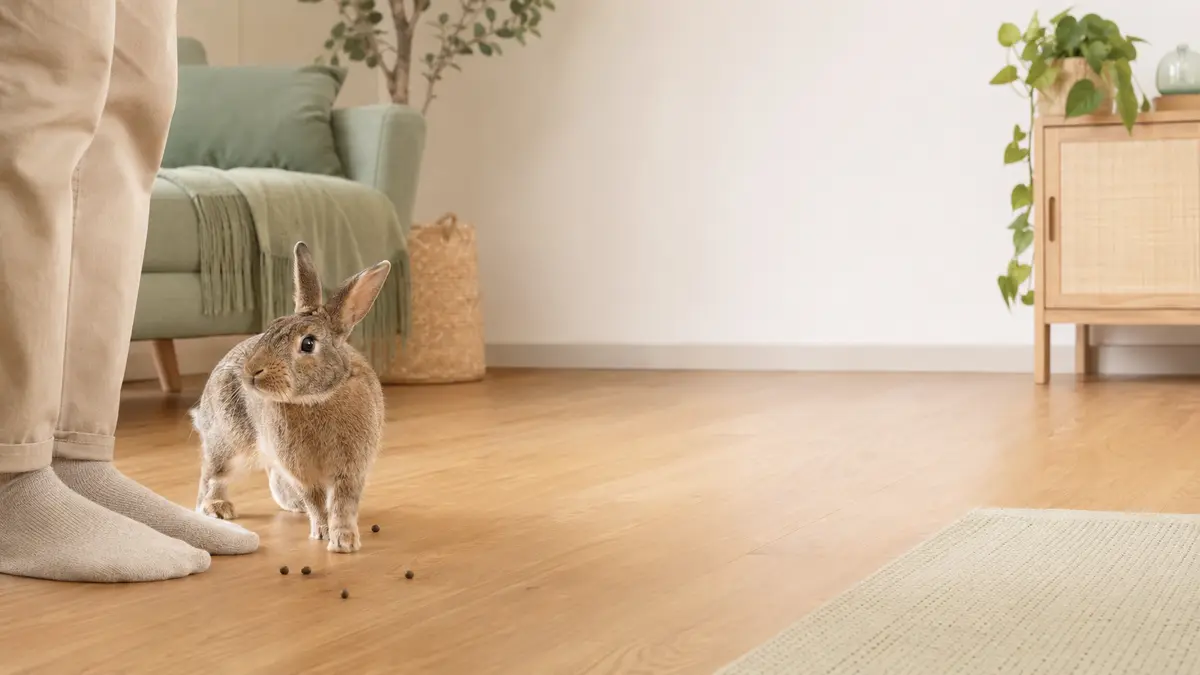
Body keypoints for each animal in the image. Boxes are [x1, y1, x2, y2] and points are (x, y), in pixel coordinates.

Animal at [191, 241, 390, 553]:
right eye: (271, 329)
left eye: (308, 344)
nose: (251, 371)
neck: (319, 397)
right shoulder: (302, 470)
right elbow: (317, 501)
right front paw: (323, 531)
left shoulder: (351, 469)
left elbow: (343, 503)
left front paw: (344, 540)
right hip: (228, 441)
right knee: (212, 475)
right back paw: (216, 508)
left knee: (272, 476)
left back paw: (294, 505)